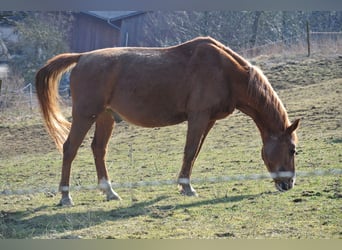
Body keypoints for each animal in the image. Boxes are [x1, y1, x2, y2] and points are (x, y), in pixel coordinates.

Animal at [35, 36, 300, 205]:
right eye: (292, 149)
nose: (288, 184)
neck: (225, 71)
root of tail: (81, 57)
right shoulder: (198, 117)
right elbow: (190, 150)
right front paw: (187, 187)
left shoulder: (208, 120)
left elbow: (195, 151)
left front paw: (184, 185)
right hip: (85, 115)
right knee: (70, 149)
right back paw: (66, 196)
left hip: (105, 117)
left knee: (98, 149)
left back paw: (109, 192)